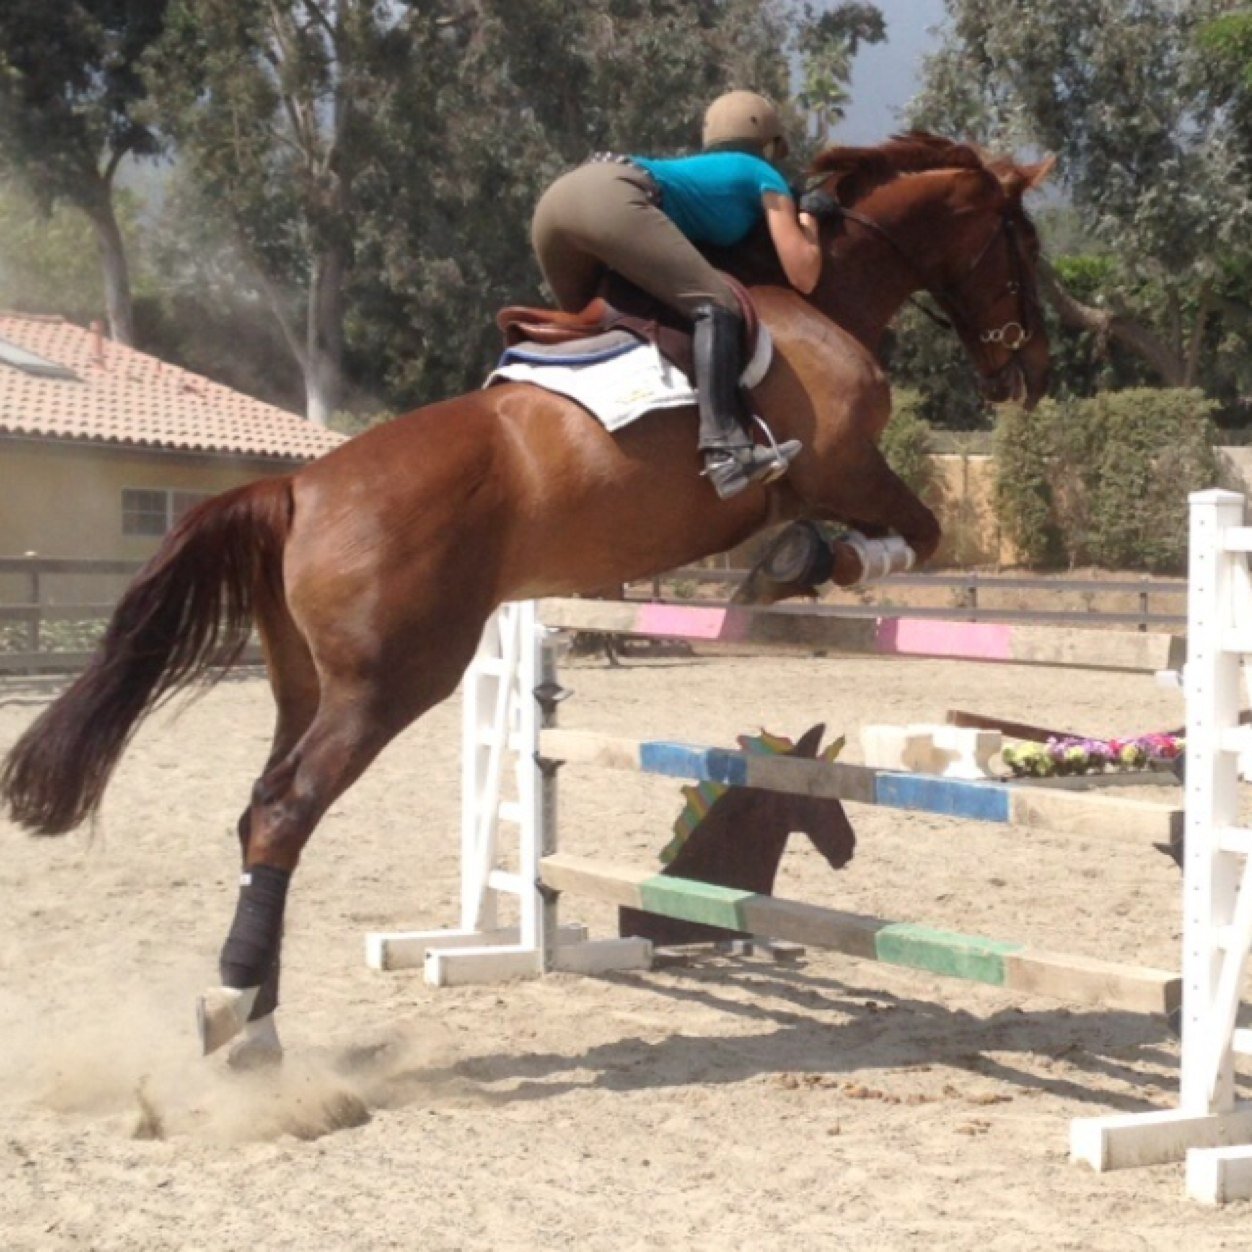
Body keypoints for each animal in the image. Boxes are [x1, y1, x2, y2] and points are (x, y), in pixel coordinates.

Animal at [0, 134, 1053, 1065]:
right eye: (1025, 249)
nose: (1029, 373)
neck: (819, 293)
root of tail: (296, 487)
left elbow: (891, 530)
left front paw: (798, 560)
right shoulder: (844, 464)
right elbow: (921, 530)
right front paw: (816, 560)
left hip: (306, 685)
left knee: (258, 806)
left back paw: (257, 1015)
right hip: (387, 684)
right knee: (283, 812)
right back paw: (235, 1017)